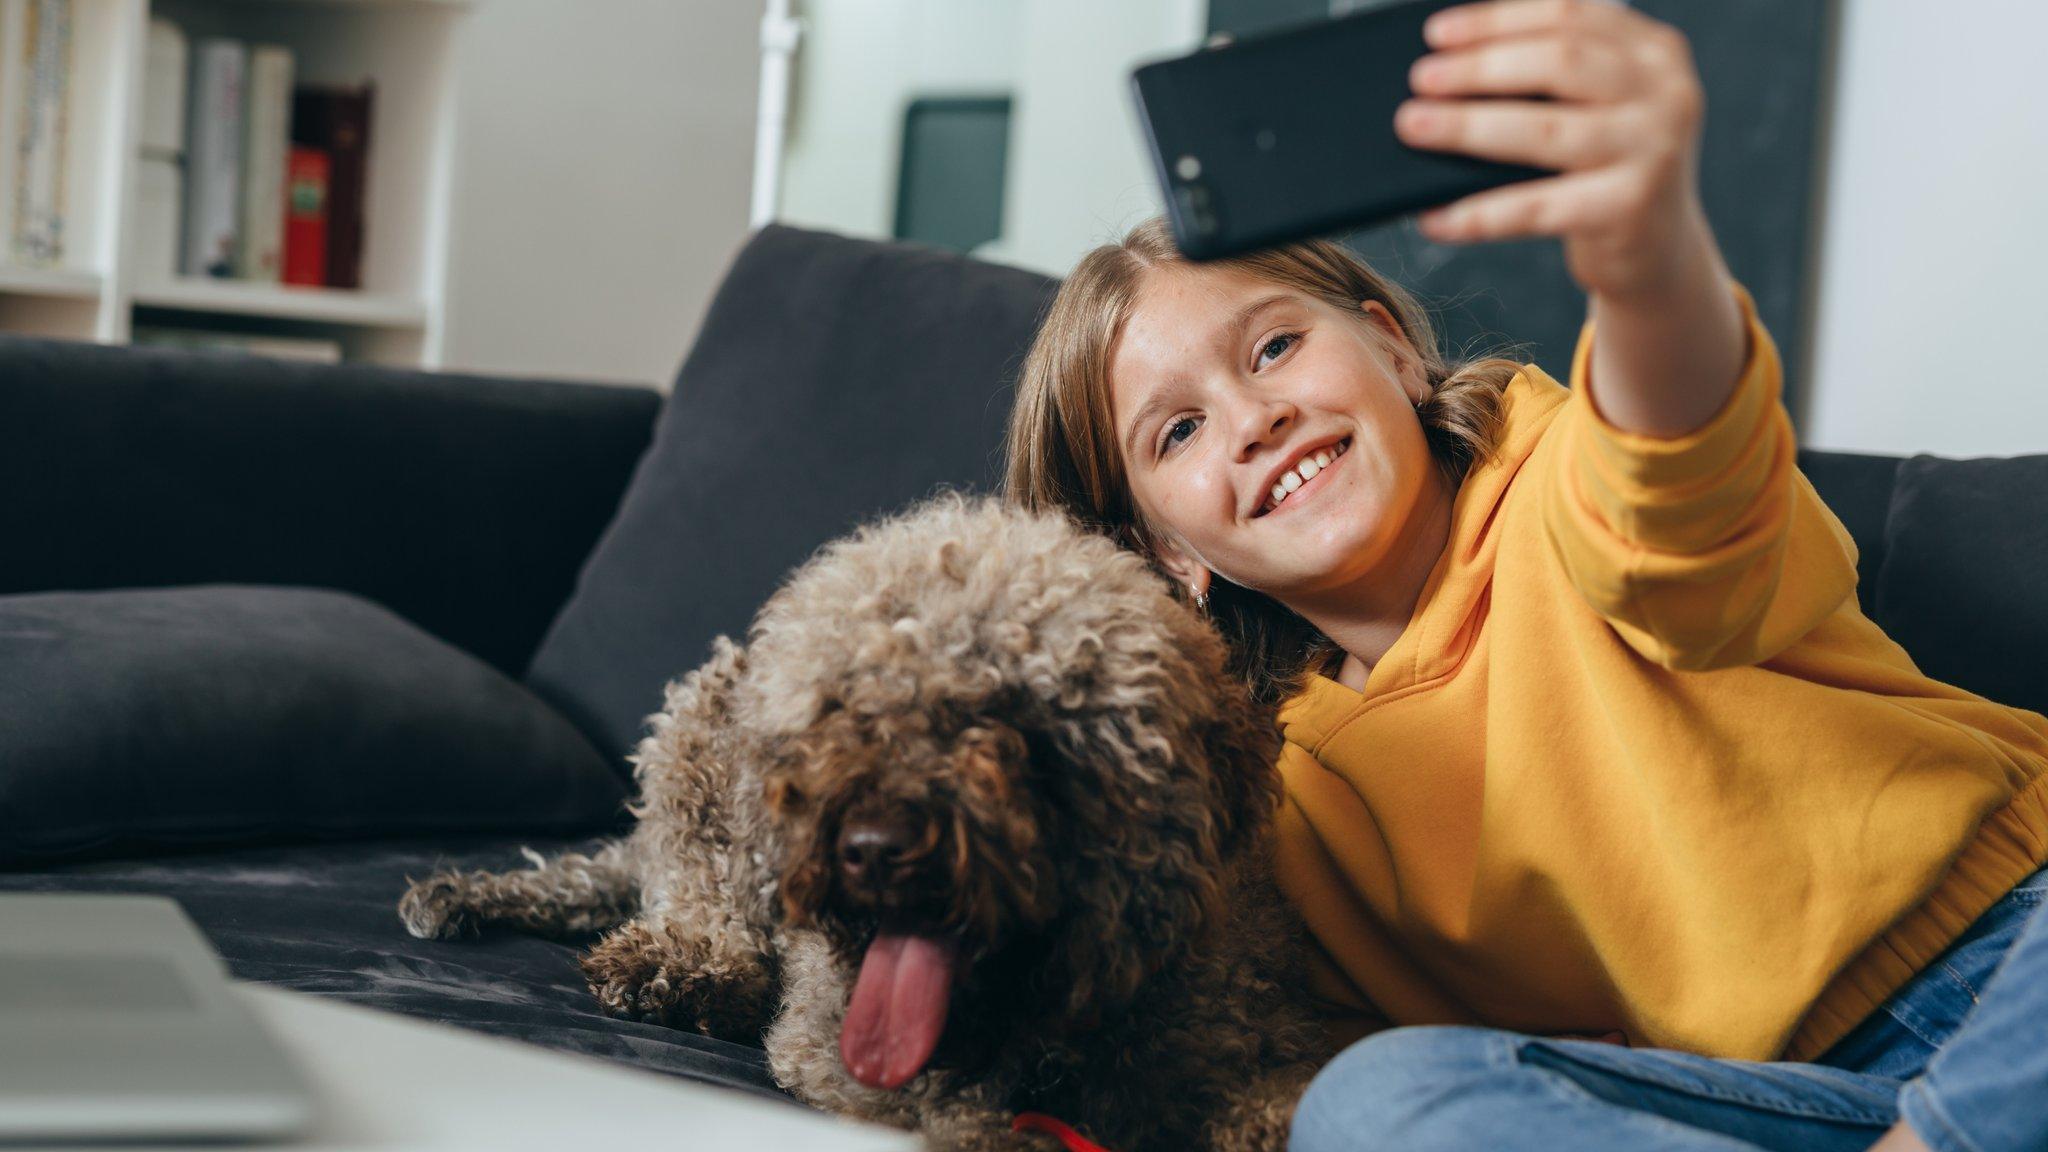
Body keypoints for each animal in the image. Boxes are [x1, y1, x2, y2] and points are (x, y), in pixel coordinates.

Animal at [395, 491, 1327, 1147]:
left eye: (1021, 723)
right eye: (845, 710)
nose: (873, 850)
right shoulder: (837, 1054)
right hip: (701, 740)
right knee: (704, 907)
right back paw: (686, 969)